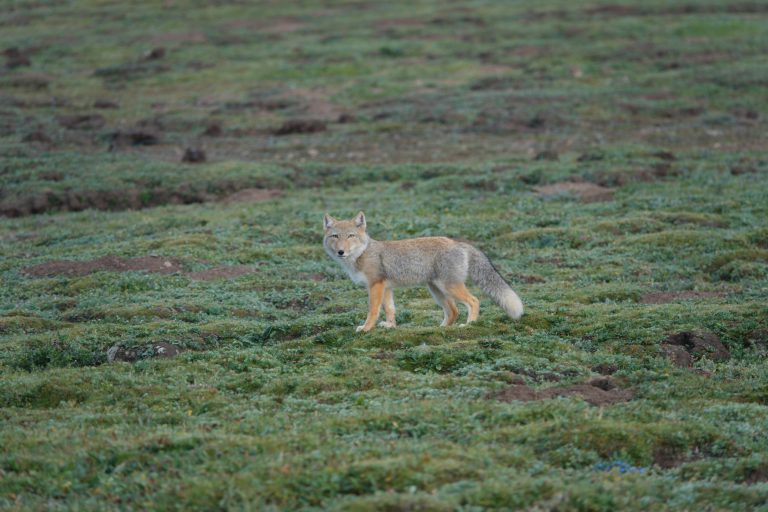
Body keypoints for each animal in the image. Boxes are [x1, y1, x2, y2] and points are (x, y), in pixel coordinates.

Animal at [323, 211, 524, 332]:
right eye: (335, 236)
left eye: (351, 236)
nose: (341, 251)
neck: (362, 254)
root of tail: (457, 242)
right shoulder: (386, 288)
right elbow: (390, 309)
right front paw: (390, 326)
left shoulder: (376, 285)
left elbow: (373, 310)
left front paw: (366, 328)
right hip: (436, 291)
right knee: (453, 311)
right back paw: (441, 328)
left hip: (449, 287)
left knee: (473, 301)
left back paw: (469, 324)